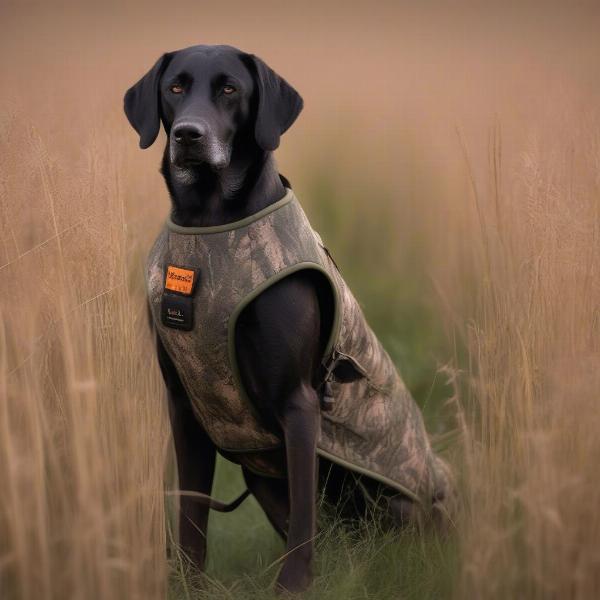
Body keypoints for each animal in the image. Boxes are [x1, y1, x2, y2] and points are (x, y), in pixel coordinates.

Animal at [124, 43, 448, 596]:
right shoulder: (185, 404)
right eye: (175, 87)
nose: (189, 135)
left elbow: (301, 526)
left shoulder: (299, 403)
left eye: (230, 89)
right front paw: (188, 583)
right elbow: (191, 516)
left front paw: (294, 586)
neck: (211, 222)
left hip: (398, 503)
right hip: (259, 476)